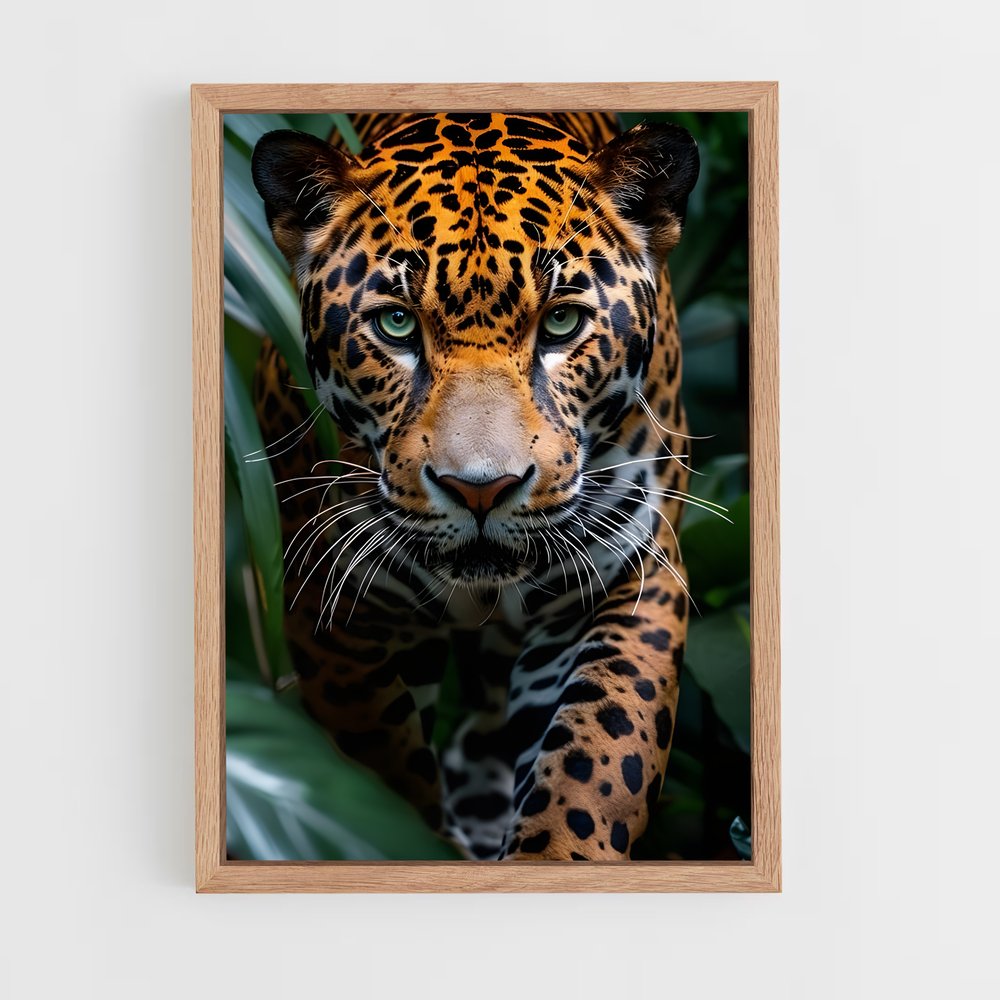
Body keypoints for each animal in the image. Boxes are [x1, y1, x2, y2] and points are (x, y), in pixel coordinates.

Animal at [249, 111, 700, 860]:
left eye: (562, 322)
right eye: (397, 323)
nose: (481, 489)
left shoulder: (630, 576)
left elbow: (596, 762)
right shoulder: (335, 608)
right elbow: (381, 774)